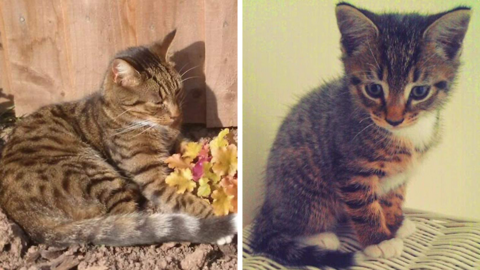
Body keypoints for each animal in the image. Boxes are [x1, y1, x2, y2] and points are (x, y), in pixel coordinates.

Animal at [0, 31, 236, 247]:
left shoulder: (177, 139)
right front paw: (215, 215)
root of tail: (24, 216)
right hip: (90, 169)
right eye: (158, 102)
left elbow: (192, 145)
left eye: (178, 91)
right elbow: (181, 198)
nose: (176, 115)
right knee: (126, 219)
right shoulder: (152, 176)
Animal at [253, 2, 470, 268]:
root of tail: (267, 204)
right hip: (305, 189)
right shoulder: (352, 170)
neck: (405, 134)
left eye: (419, 91)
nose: (394, 119)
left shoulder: (398, 175)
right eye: (374, 89)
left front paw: (395, 224)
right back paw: (319, 237)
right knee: (288, 225)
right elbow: (365, 208)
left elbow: (393, 198)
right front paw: (379, 241)